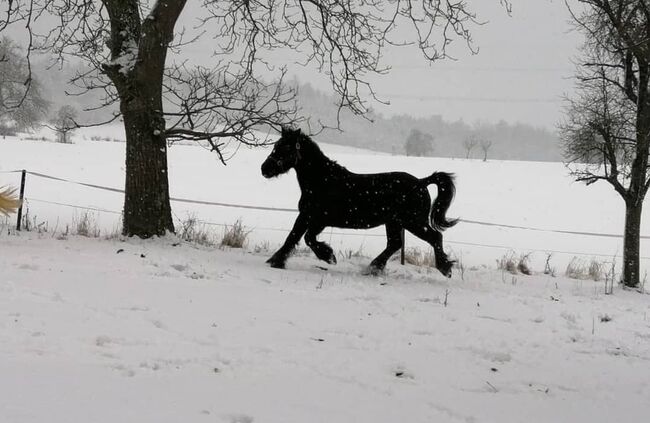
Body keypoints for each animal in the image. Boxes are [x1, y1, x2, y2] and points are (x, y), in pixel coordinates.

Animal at [258, 126, 456, 278]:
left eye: (285, 148)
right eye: (276, 146)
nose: (264, 169)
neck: (322, 180)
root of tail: (422, 182)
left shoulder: (317, 219)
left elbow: (306, 238)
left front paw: (329, 257)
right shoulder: (308, 217)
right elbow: (294, 237)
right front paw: (276, 261)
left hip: (413, 222)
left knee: (435, 237)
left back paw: (445, 268)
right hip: (394, 222)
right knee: (395, 244)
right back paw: (373, 268)